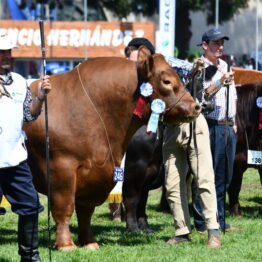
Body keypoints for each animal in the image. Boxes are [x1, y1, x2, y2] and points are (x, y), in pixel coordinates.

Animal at [24, 48, 200, 251]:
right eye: (166, 81)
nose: (196, 106)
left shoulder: (97, 174)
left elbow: (86, 211)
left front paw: (89, 242)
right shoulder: (62, 168)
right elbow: (65, 207)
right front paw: (66, 244)